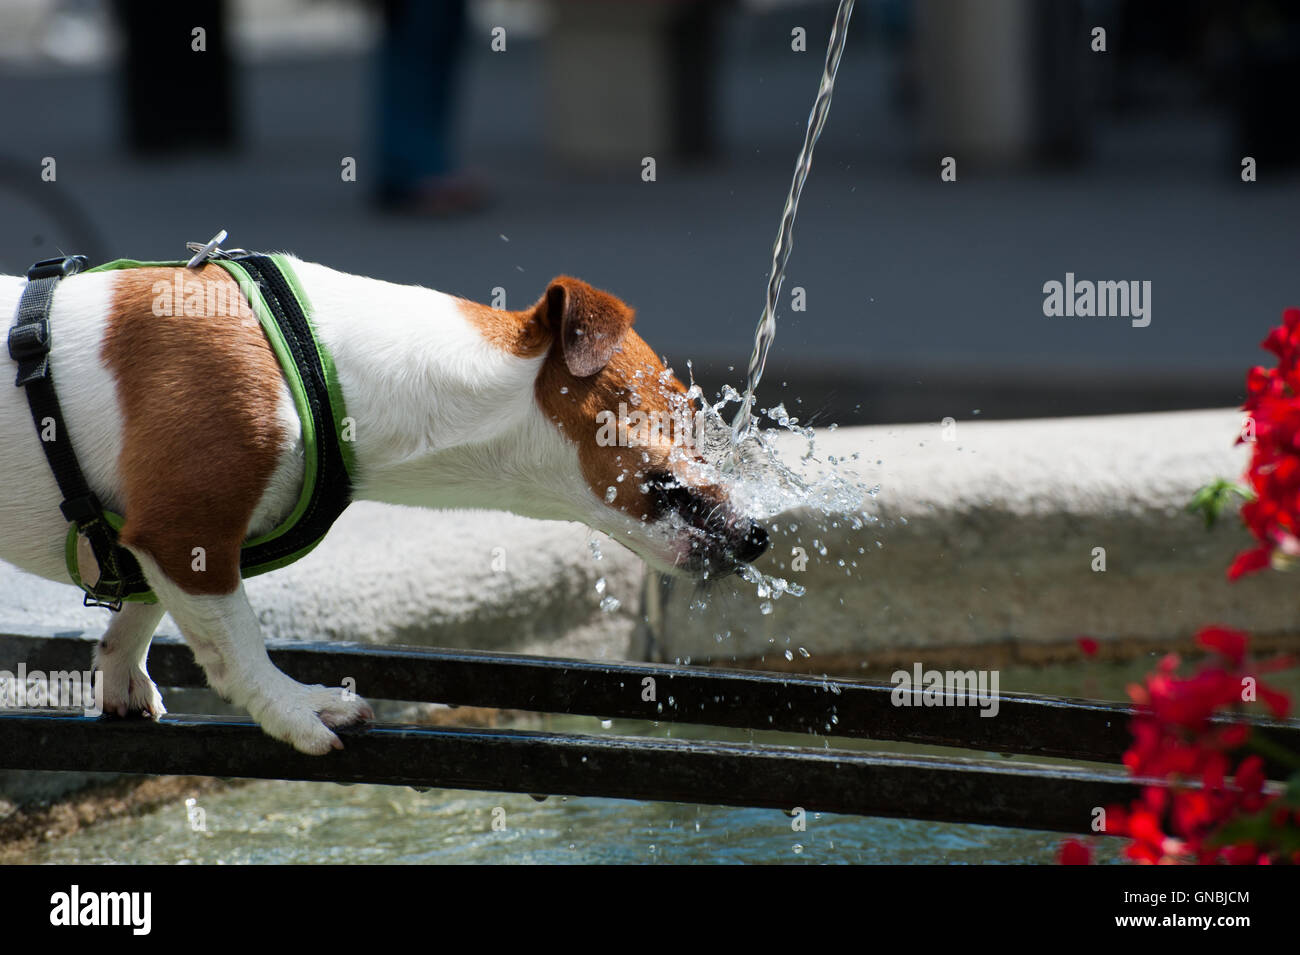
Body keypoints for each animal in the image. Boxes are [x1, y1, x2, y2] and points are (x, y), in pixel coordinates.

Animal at [0, 259, 764, 753]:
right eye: (686, 409)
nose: (758, 534)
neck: (326, 364)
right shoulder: (188, 531)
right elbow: (236, 643)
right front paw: (295, 707)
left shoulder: (152, 531)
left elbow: (138, 606)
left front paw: (122, 672)